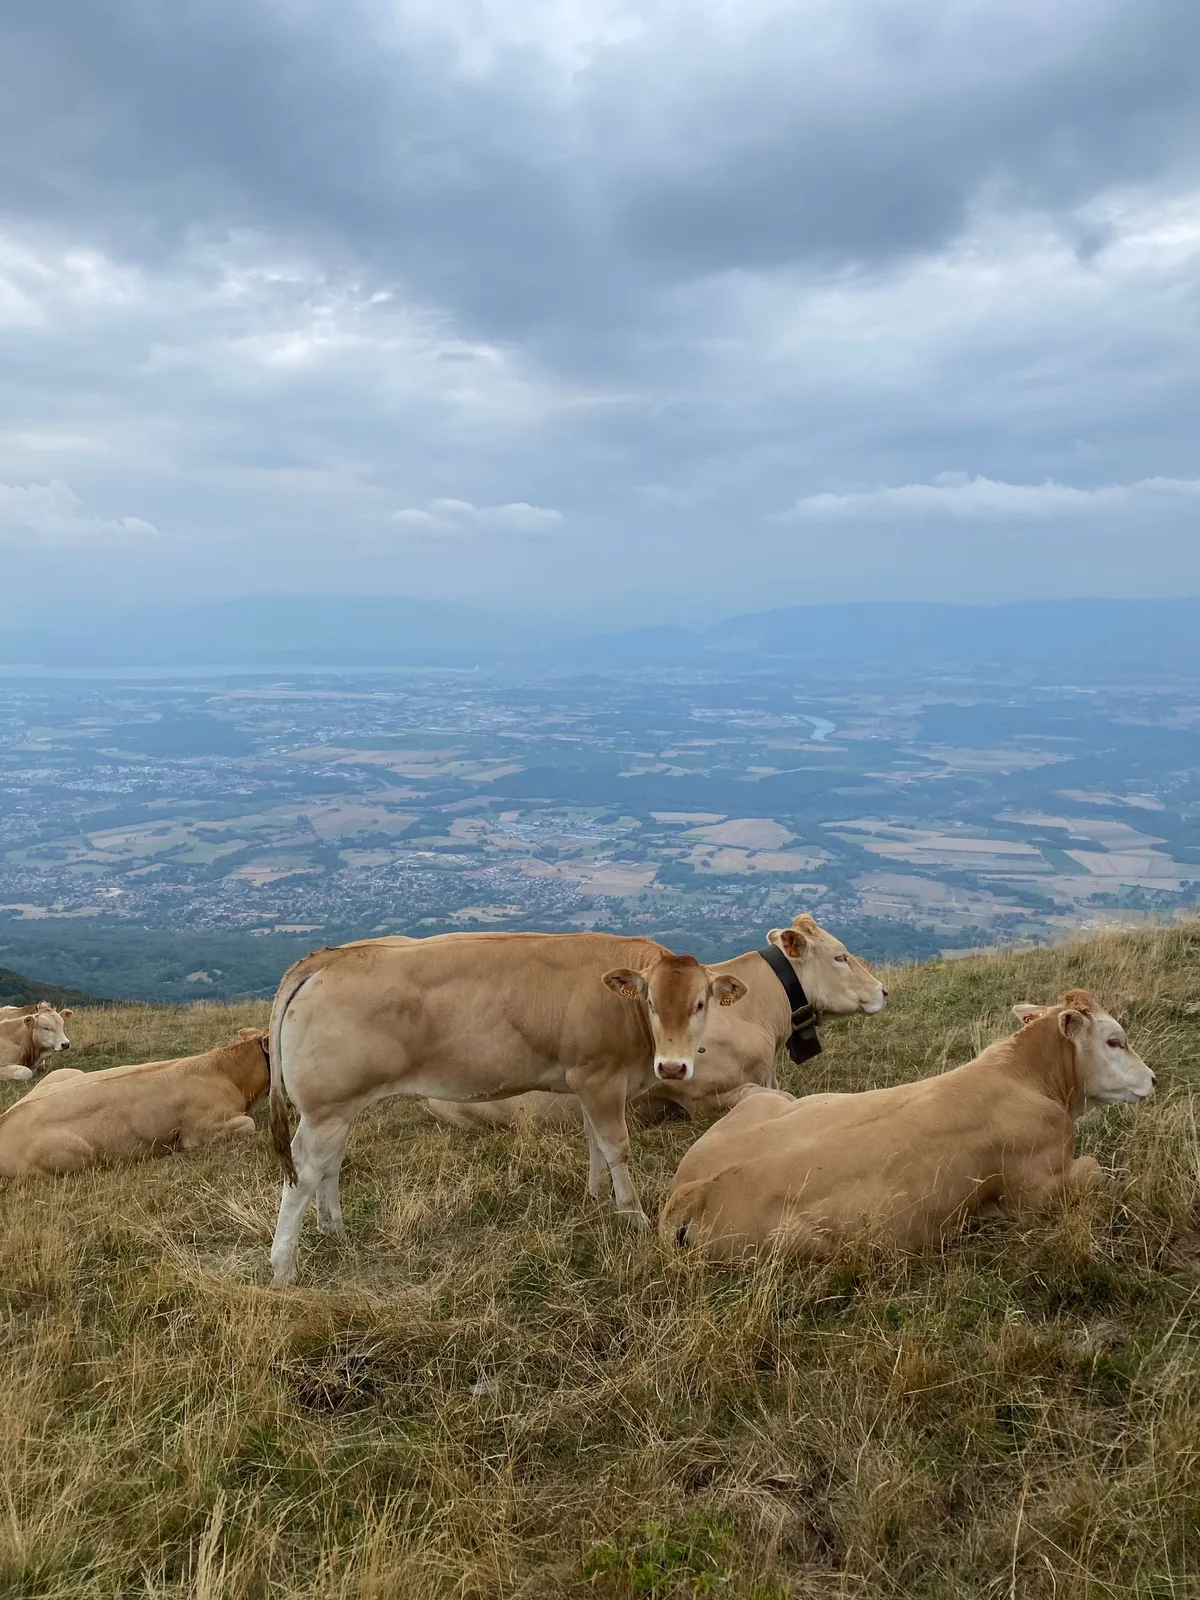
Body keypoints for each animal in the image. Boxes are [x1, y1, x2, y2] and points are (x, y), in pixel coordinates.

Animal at [266, 932, 751, 1284]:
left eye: (700, 1004)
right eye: (650, 1002)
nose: (672, 1067)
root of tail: (331, 958)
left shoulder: (587, 1081)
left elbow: (594, 1141)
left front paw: (595, 1198)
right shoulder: (600, 1077)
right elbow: (616, 1147)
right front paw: (632, 1216)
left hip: (338, 1107)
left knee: (329, 1166)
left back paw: (333, 1230)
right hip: (327, 1107)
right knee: (304, 1173)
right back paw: (283, 1267)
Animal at [661, 989, 1154, 1262]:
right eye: (1114, 1040)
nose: (1152, 1078)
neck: (1027, 1078)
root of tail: (693, 1191)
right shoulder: (1037, 1194)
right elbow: (1095, 1170)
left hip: (768, 1100)